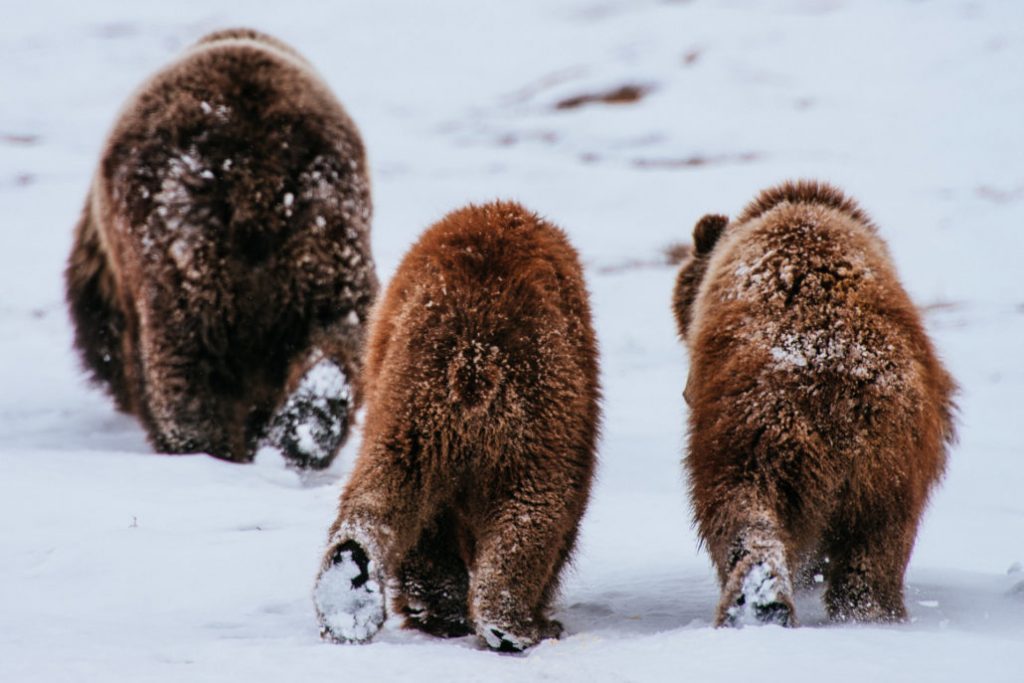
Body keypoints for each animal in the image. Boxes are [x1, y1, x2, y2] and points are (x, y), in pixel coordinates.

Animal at [64, 29, 378, 466]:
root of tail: (258, 179)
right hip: (324, 238)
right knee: (338, 336)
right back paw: (305, 430)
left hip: (182, 248)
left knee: (186, 369)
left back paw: (204, 447)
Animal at [311, 201, 598, 651]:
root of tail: (474, 356)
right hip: (536, 418)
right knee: (536, 507)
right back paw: (515, 625)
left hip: (414, 411)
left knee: (385, 490)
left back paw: (349, 583)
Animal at [675, 180, 954, 626]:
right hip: (889, 458)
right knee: (875, 548)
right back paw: (856, 610)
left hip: (753, 432)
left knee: (741, 513)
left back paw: (757, 603)